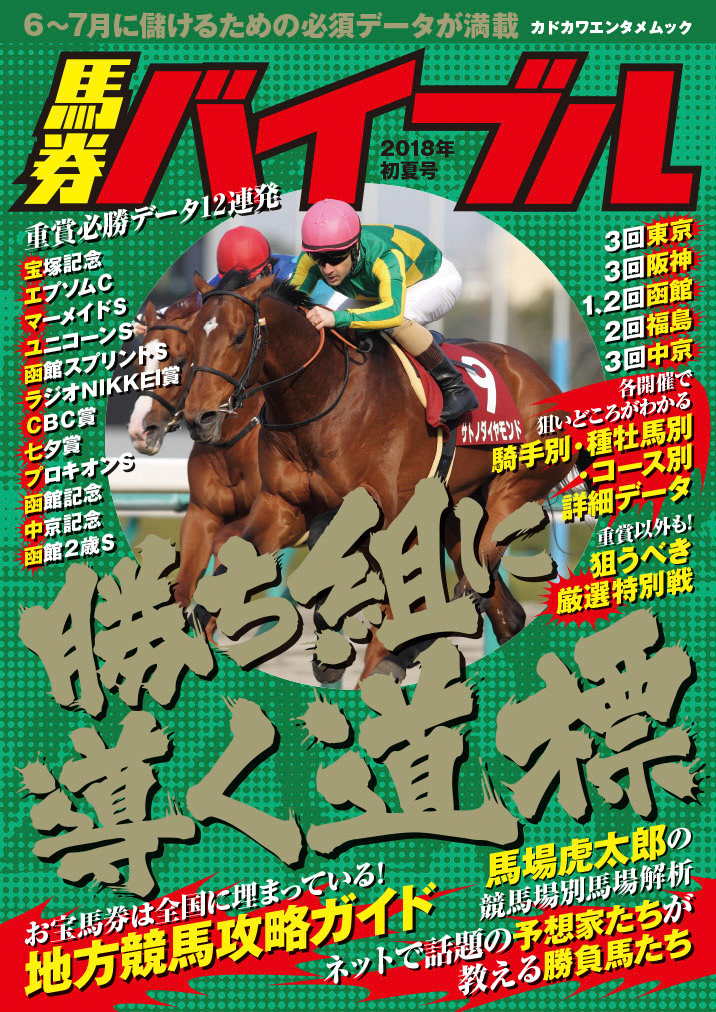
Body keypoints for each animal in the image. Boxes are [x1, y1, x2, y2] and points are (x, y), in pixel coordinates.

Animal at [182, 267, 577, 682]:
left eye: (239, 336)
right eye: (192, 337)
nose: (199, 418)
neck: (320, 394)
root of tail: (541, 377)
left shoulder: (382, 506)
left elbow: (327, 536)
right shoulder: (280, 504)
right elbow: (226, 574)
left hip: (514, 489)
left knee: (475, 576)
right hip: (457, 512)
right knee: (505, 611)